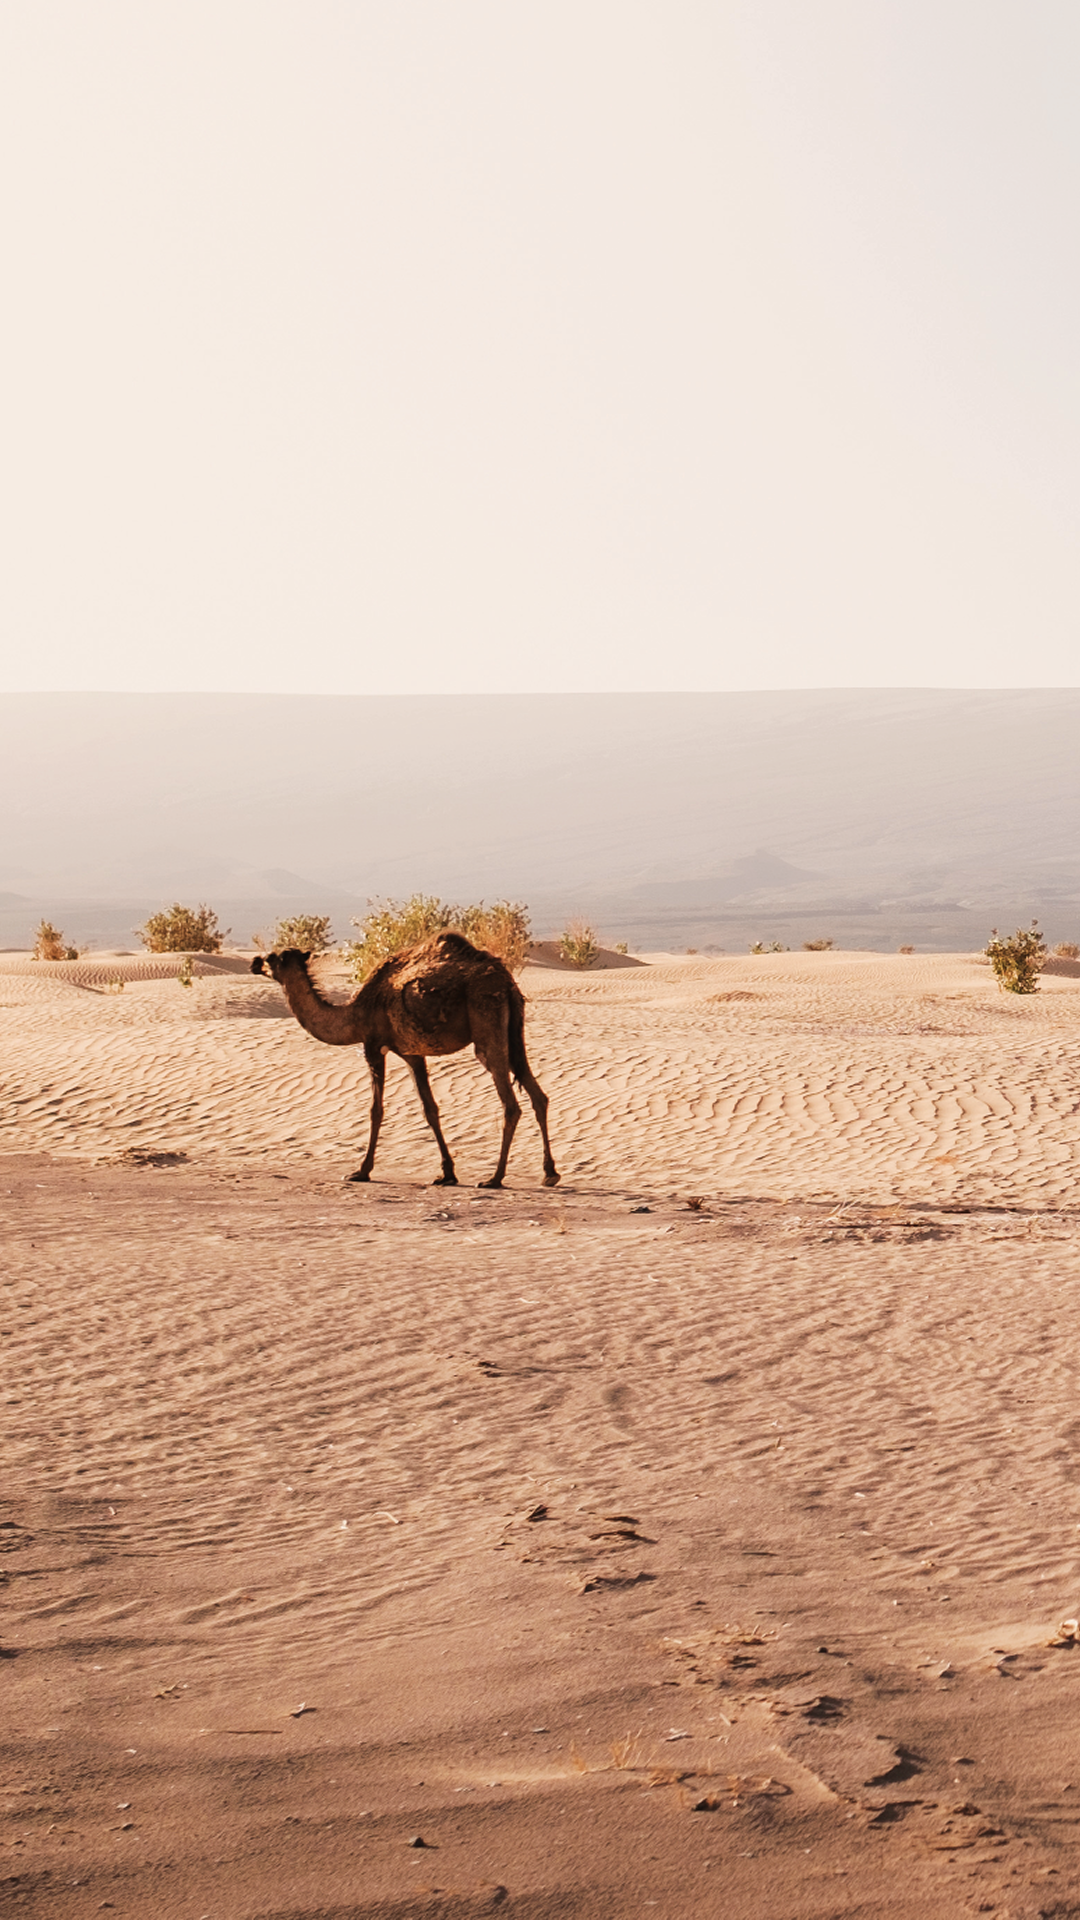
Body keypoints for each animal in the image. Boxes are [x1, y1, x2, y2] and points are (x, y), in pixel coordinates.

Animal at [251, 932, 559, 1188]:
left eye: (274, 958)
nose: (255, 963)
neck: (353, 1015)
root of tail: (507, 984)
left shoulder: (373, 1046)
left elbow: (376, 1110)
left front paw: (361, 1171)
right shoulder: (413, 1053)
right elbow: (430, 1109)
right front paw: (447, 1174)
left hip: (486, 1024)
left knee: (510, 1104)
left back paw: (494, 1178)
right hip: (514, 1032)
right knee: (538, 1094)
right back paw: (550, 1173)